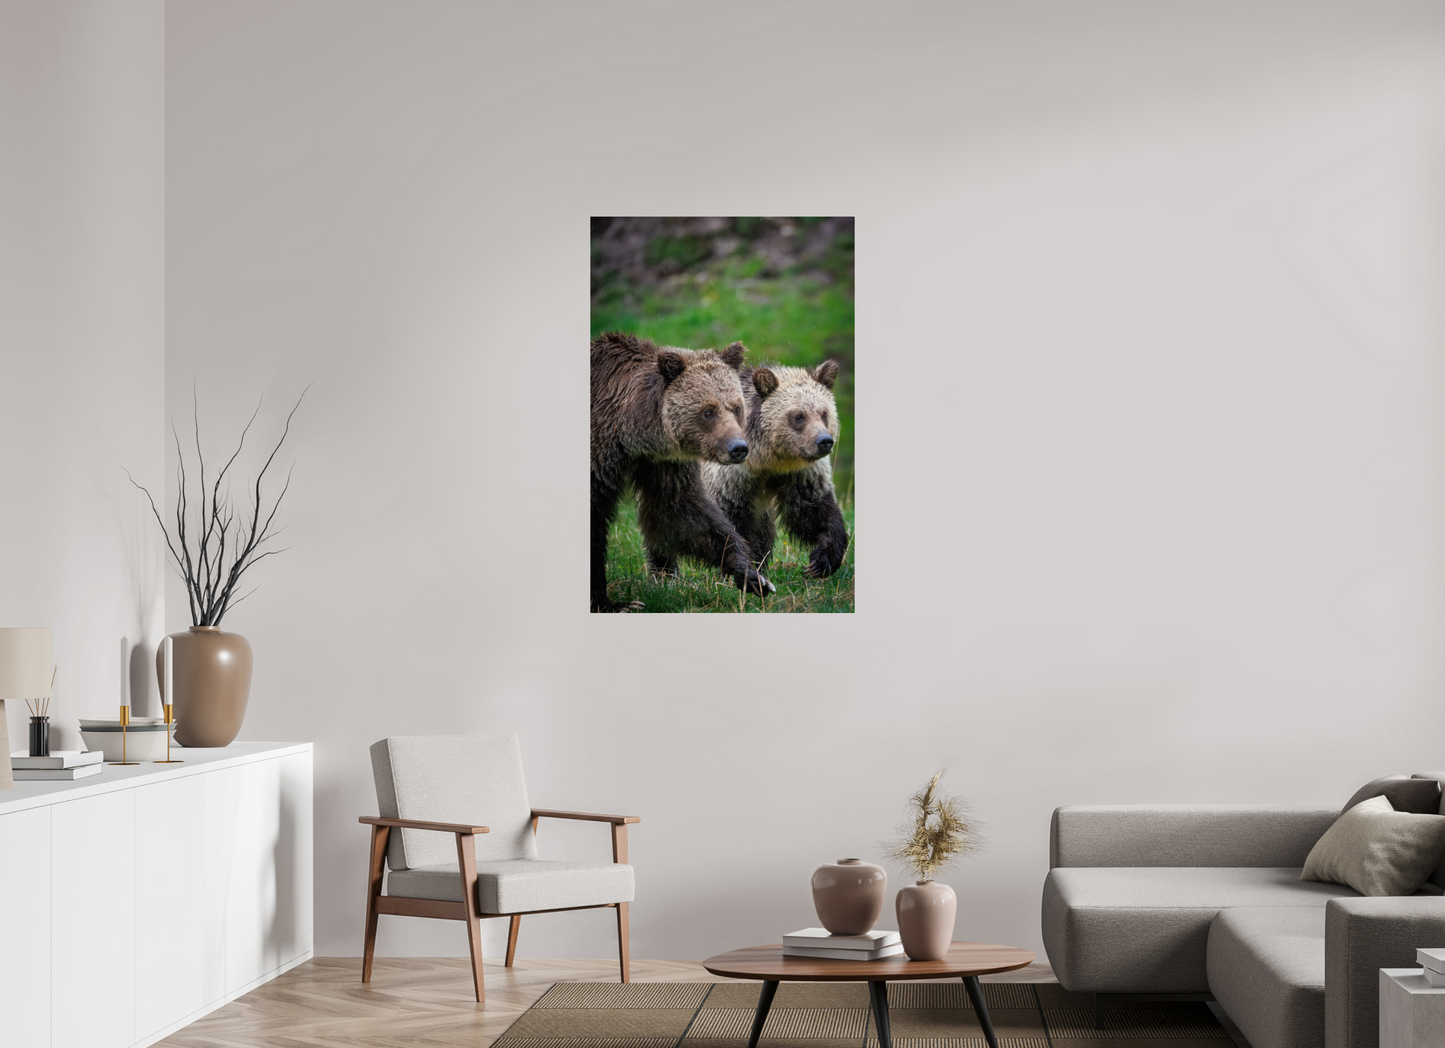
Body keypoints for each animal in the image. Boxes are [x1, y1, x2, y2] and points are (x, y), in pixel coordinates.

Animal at [591, 331, 775, 612]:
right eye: (708, 411)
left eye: (736, 408)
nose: (738, 448)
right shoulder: (601, 454)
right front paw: (615, 603)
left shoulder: (663, 462)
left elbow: (680, 511)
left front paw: (751, 574)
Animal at [700, 359, 849, 579]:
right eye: (798, 416)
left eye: (824, 413)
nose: (824, 441)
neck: (768, 459)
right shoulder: (730, 478)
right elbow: (731, 520)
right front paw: (740, 568)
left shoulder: (800, 475)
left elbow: (813, 511)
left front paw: (821, 562)